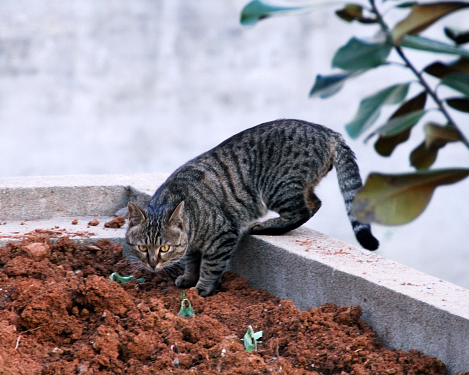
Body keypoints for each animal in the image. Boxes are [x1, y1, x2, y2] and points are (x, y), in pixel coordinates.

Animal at [126, 119, 378, 296]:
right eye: (142, 247)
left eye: (164, 248)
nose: (152, 264)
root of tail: (328, 132)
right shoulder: (192, 245)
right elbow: (191, 260)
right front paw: (188, 278)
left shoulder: (223, 235)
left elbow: (210, 265)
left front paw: (201, 288)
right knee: (314, 203)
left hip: (276, 187)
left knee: (301, 211)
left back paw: (265, 227)